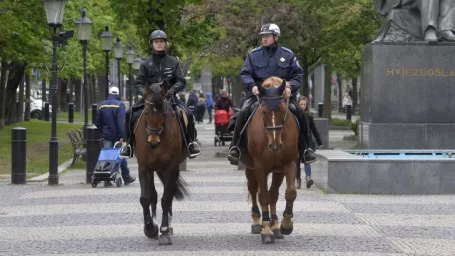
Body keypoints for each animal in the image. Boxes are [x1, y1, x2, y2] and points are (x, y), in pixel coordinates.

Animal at [133, 82, 188, 246]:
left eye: (164, 114)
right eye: (146, 113)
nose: (153, 142)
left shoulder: (171, 168)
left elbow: (166, 199)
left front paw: (163, 231)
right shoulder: (144, 168)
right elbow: (146, 198)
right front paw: (150, 228)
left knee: (168, 195)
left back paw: (168, 226)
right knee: (153, 195)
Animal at [240, 76, 302, 244]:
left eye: (282, 109)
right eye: (264, 111)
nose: (275, 145)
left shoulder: (288, 164)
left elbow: (289, 193)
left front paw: (285, 225)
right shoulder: (260, 167)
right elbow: (263, 197)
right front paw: (266, 230)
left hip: (276, 171)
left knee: (273, 194)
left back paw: (275, 226)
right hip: (250, 169)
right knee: (254, 190)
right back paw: (257, 223)